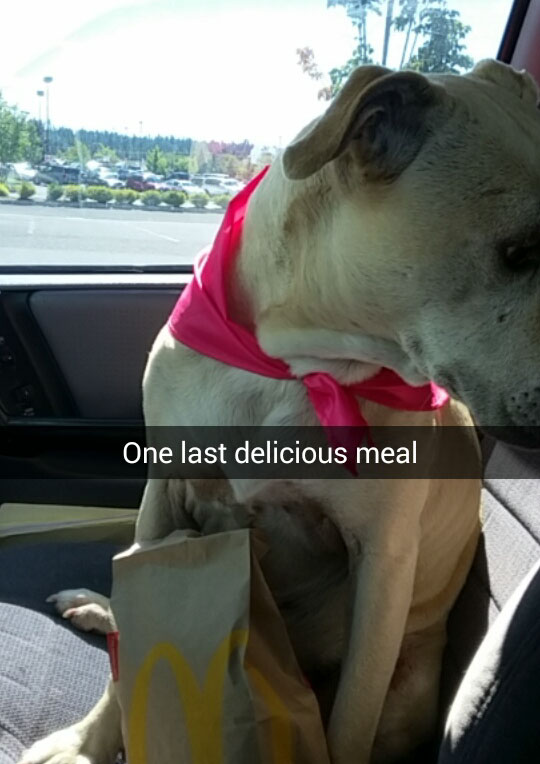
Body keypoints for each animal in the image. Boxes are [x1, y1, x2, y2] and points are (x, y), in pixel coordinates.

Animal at [21, 61, 540, 764]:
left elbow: (349, 718)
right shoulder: (163, 491)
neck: (295, 365)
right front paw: (88, 741)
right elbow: (131, 647)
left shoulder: (382, 564)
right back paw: (96, 605)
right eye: (519, 252)